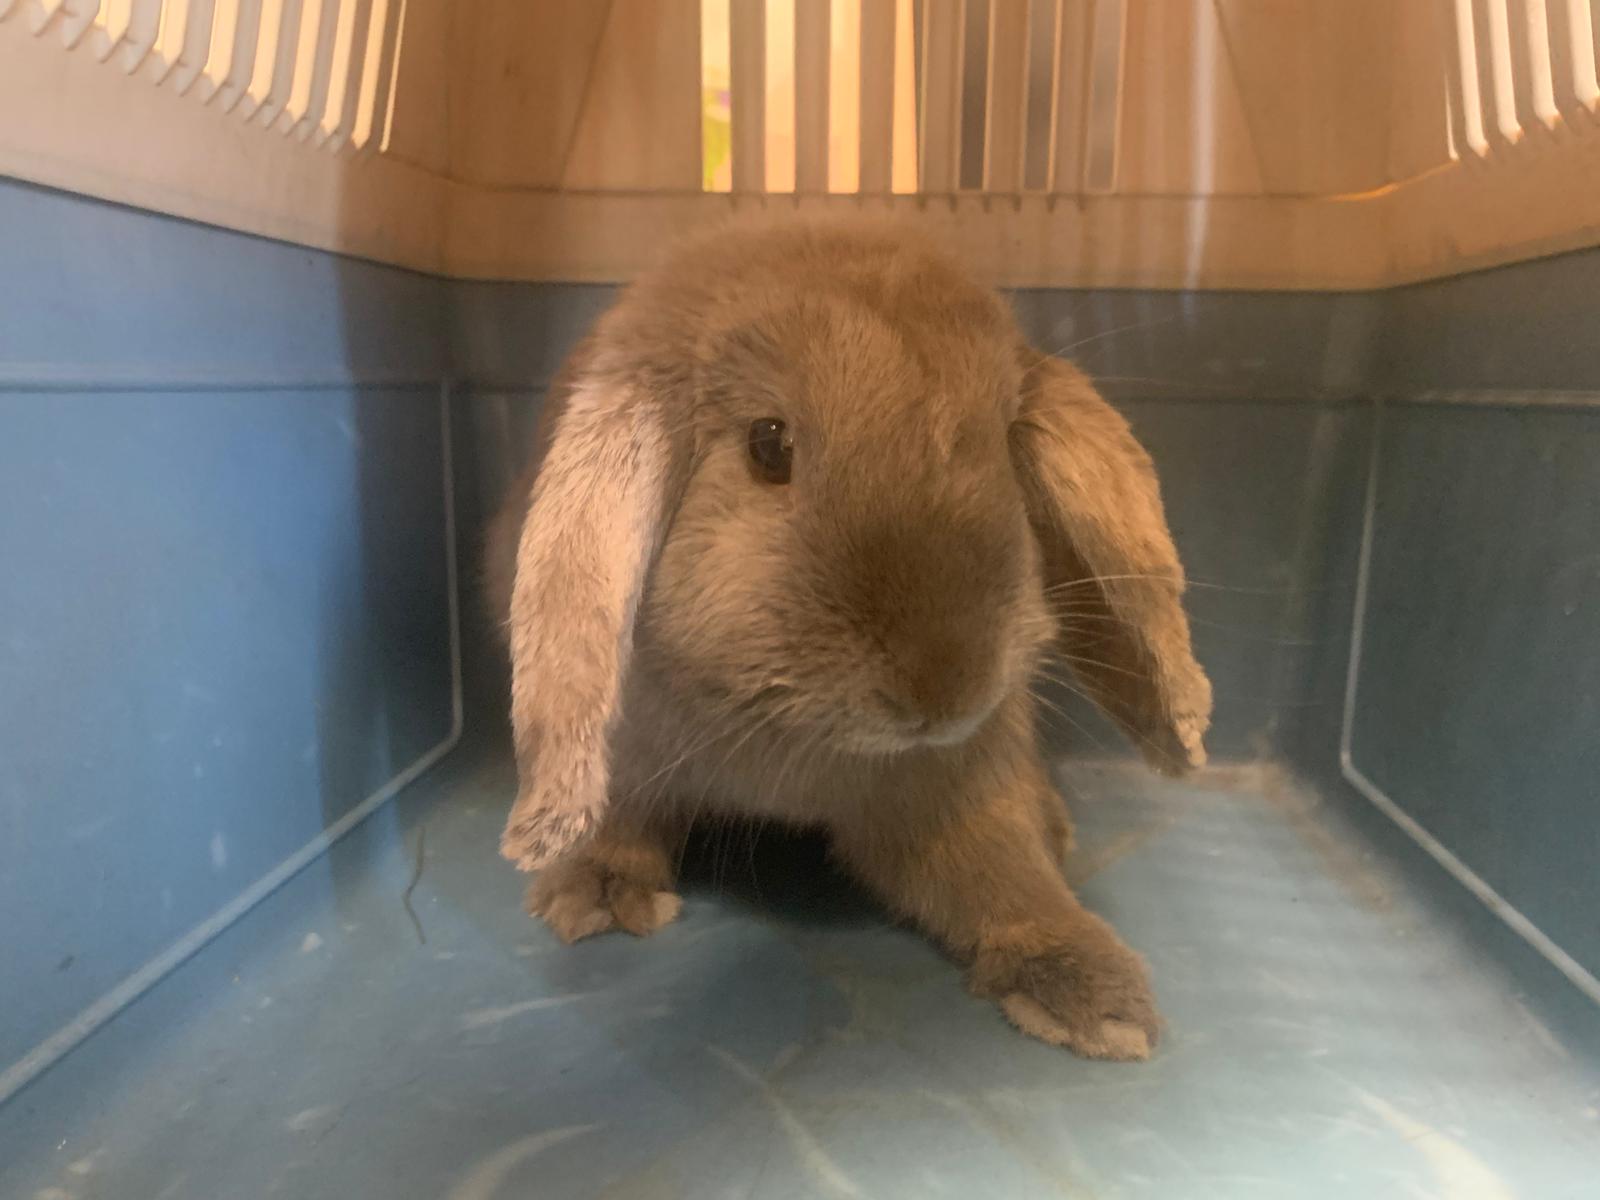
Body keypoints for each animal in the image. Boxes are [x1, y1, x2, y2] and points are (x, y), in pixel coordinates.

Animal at [483, 219, 1211, 1061]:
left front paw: (1090, 992)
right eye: (769, 443)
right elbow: (622, 819)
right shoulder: (627, 762)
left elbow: (998, 870)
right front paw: (593, 893)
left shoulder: (957, 787)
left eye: (1004, 442)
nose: (943, 691)